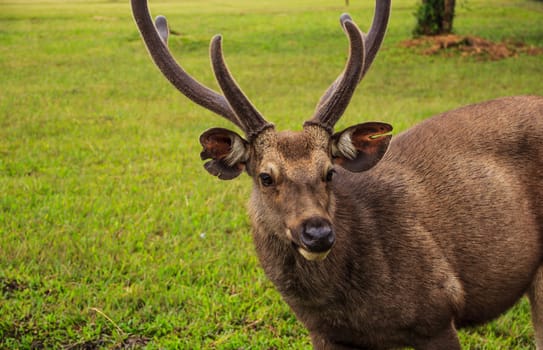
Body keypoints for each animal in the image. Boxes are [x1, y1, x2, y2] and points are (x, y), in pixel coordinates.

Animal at [132, 0, 543, 348]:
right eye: (265, 176)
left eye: (330, 172)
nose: (317, 232)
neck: (352, 308)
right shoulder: (324, 333)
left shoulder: (437, 311)